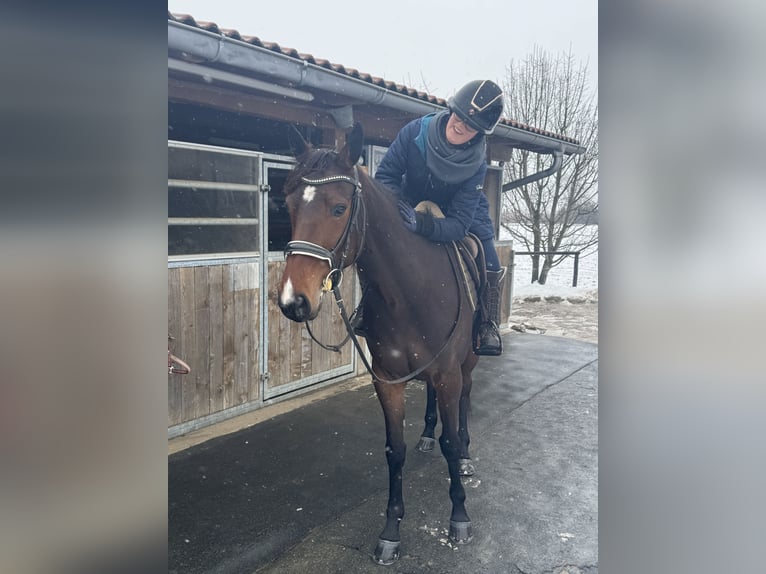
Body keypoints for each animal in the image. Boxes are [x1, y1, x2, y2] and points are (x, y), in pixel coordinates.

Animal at [277, 123, 481, 565]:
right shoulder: (387, 380)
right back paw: (427, 434)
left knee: (465, 403)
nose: (293, 301)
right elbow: (394, 450)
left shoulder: (449, 374)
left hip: (468, 364)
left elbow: (451, 441)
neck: (410, 293)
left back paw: (467, 456)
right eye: (288, 205)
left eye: (339, 208)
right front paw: (391, 532)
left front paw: (459, 516)